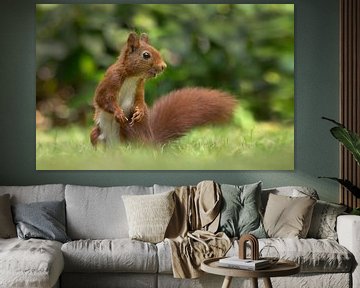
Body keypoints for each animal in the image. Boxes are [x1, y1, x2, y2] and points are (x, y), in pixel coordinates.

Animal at [89, 32, 236, 146]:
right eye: (146, 55)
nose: (163, 66)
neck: (132, 77)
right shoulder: (111, 80)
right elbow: (102, 99)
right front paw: (118, 112)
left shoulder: (139, 86)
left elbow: (139, 100)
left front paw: (140, 111)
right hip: (95, 134)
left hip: (130, 131)